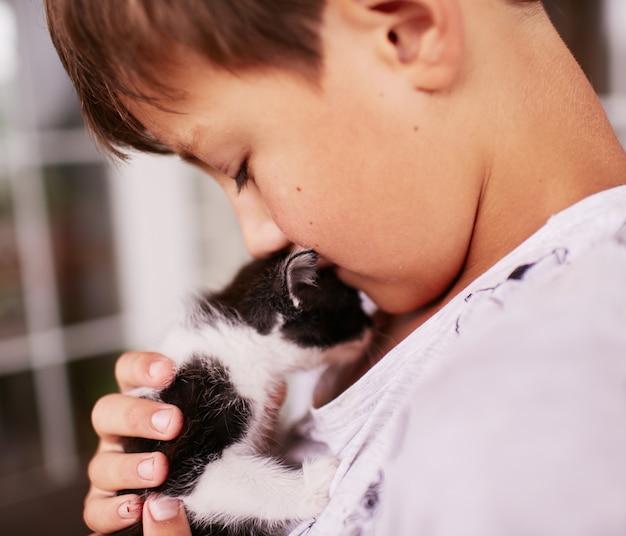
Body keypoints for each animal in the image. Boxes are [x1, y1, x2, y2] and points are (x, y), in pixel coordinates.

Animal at [113, 249, 370, 532]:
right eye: (354, 308)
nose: (371, 323)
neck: (241, 341)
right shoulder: (176, 456)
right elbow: (226, 481)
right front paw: (313, 485)